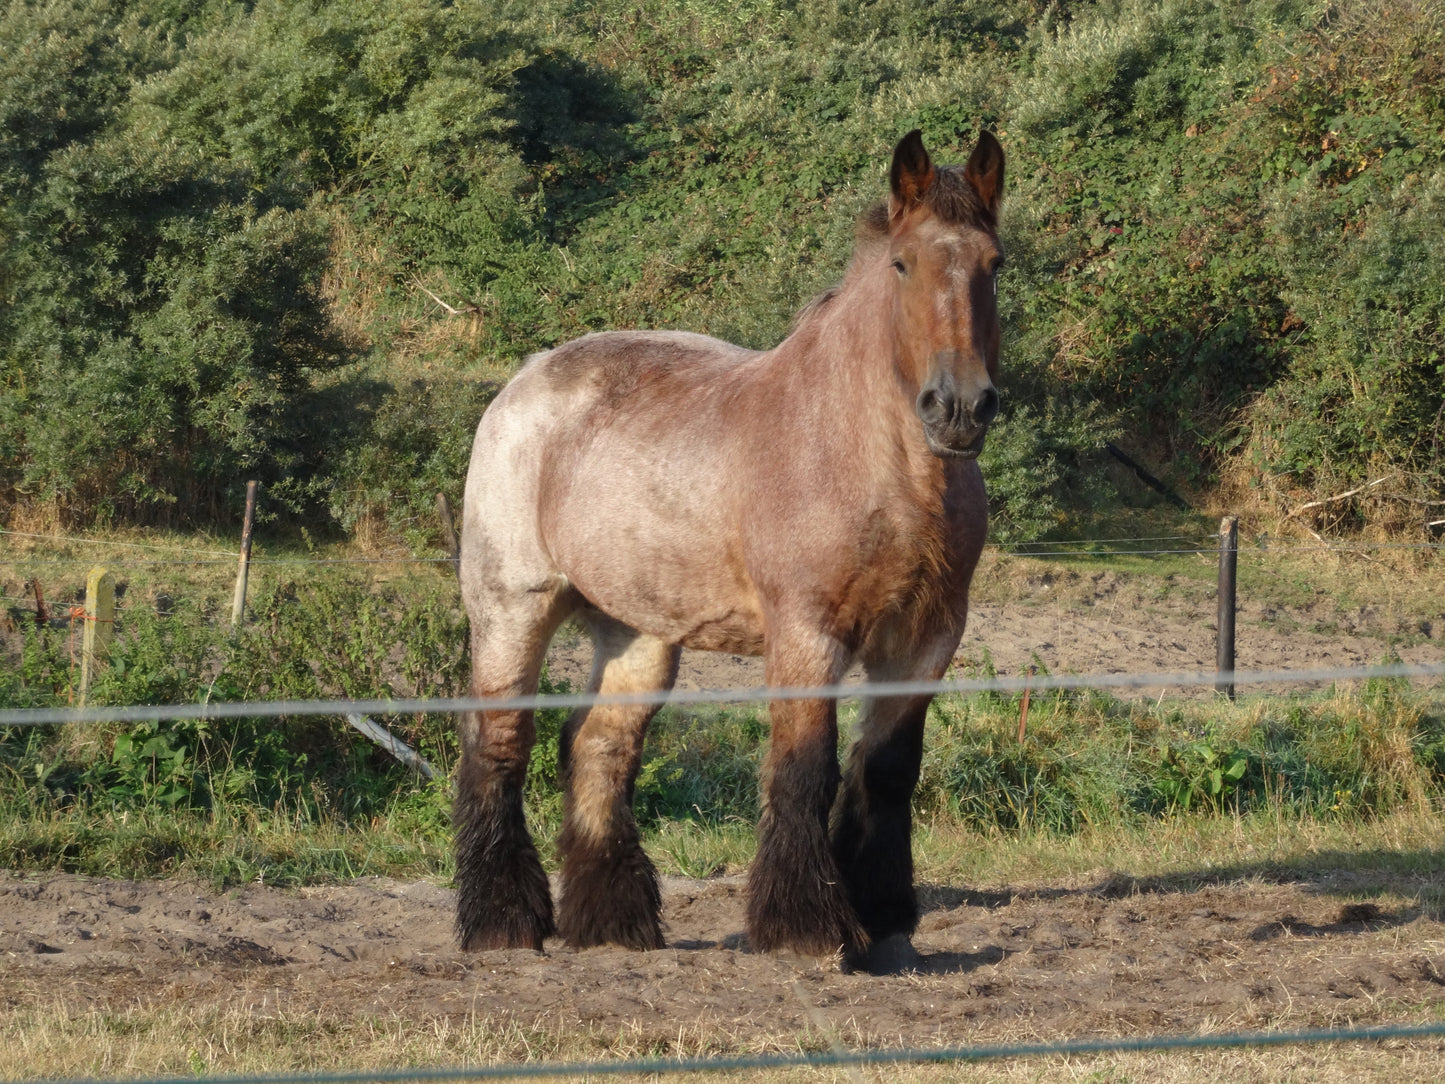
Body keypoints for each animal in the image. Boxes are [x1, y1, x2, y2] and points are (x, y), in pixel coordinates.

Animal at [455, 128, 1004, 969]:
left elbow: (884, 771)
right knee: (499, 744)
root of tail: (522, 381)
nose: (959, 408)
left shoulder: (925, 637)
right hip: (512, 609)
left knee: (598, 746)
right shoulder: (807, 631)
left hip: (639, 634)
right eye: (902, 263)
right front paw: (806, 927)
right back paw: (502, 922)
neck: (879, 463)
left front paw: (881, 917)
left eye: (994, 263)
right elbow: (803, 769)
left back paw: (614, 925)